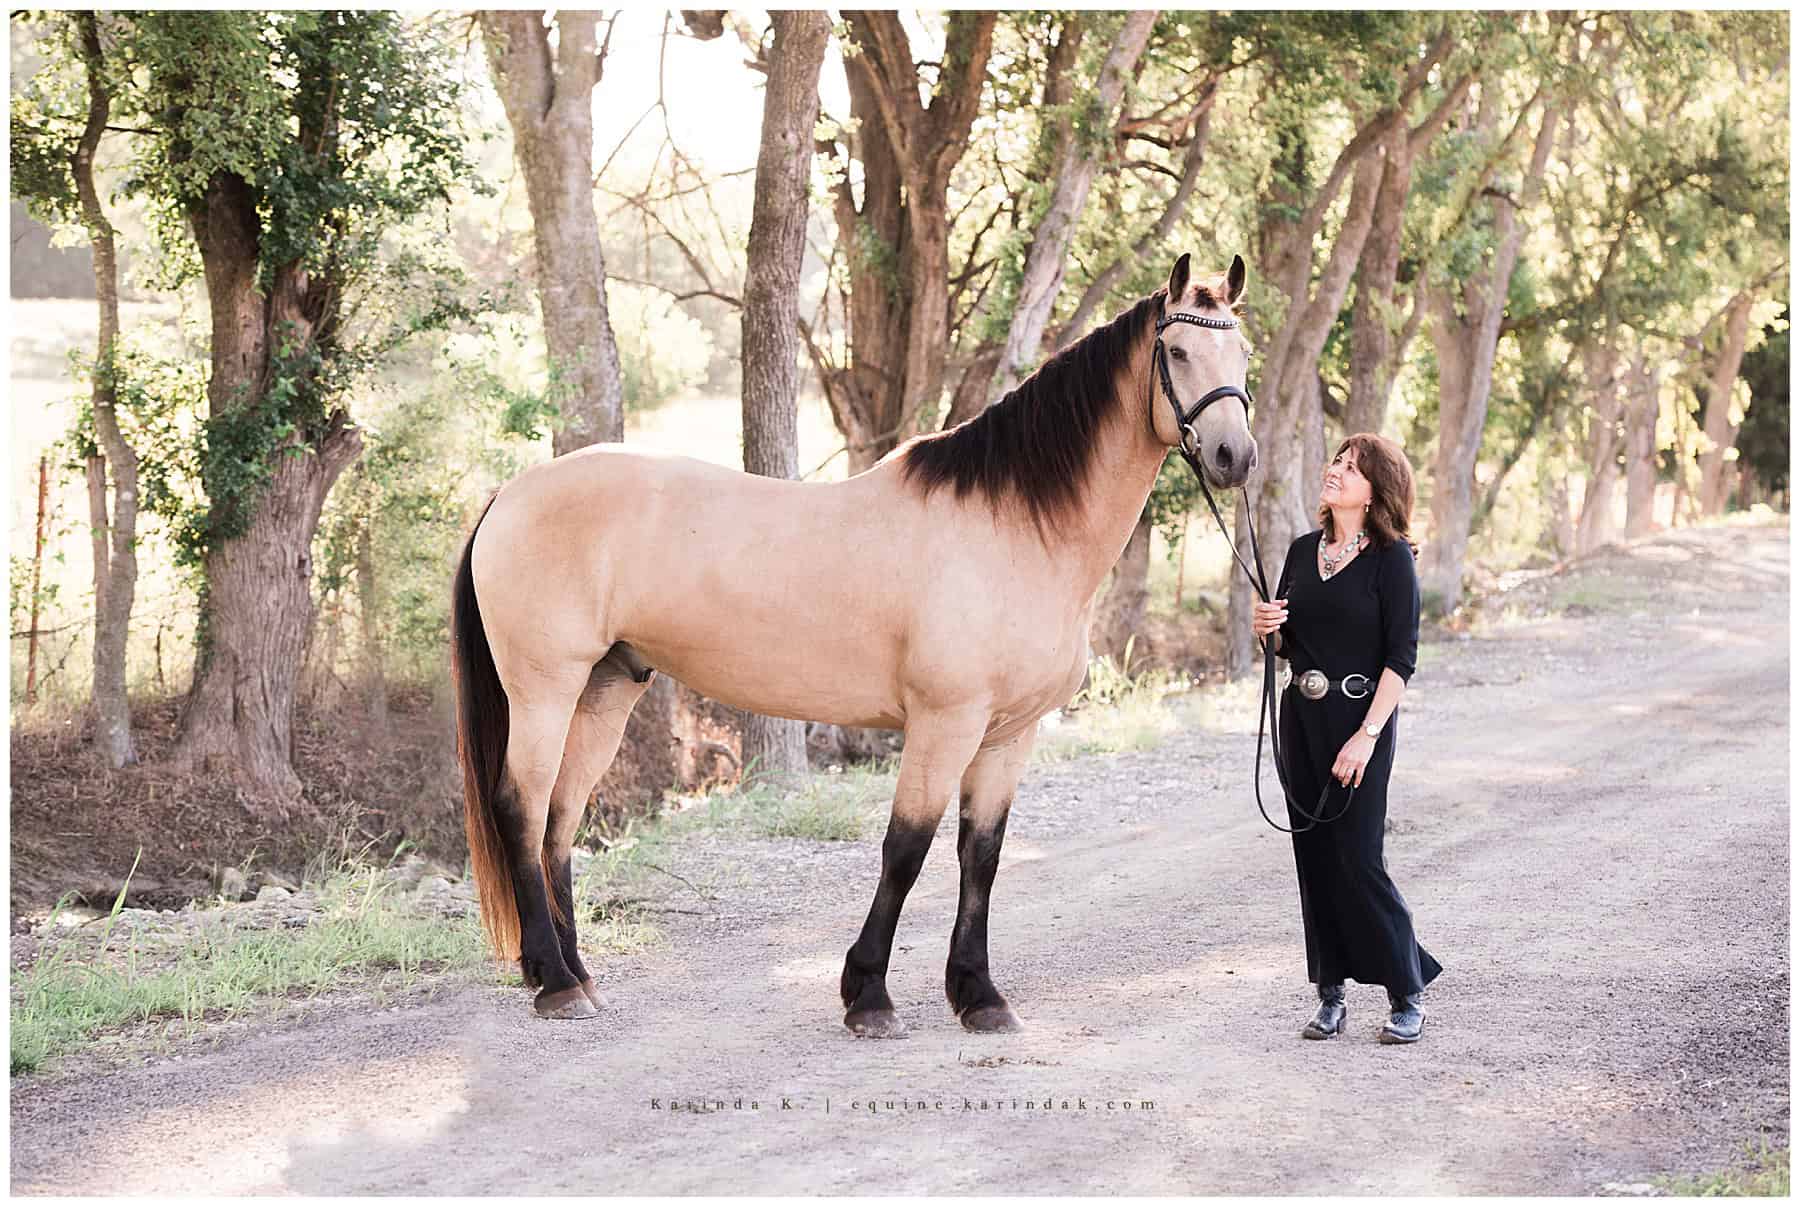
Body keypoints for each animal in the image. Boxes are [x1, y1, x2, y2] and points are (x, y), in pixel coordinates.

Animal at [450, 252, 1258, 1034]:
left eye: (1243, 354)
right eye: (1178, 351)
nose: (1234, 457)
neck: (1012, 526)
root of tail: (507, 496)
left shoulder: (1009, 733)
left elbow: (981, 855)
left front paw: (978, 994)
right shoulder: (944, 722)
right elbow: (906, 849)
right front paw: (868, 993)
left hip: (605, 690)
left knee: (559, 819)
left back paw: (575, 974)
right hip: (546, 689)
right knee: (521, 807)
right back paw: (554, 983)